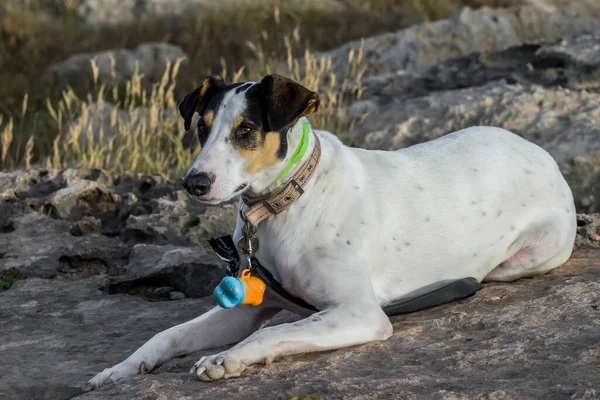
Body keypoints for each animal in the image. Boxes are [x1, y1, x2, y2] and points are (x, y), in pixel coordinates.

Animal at [84, 73, 576, 390]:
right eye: (202, 129)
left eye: (246, 129)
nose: (194, 184)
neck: (286, 205)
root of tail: (537, 150)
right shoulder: (247, 307)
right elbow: (168, 335)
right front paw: (119, 370)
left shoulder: (359, 313)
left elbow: (270, 334)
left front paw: (226, 358)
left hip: (528, 256)